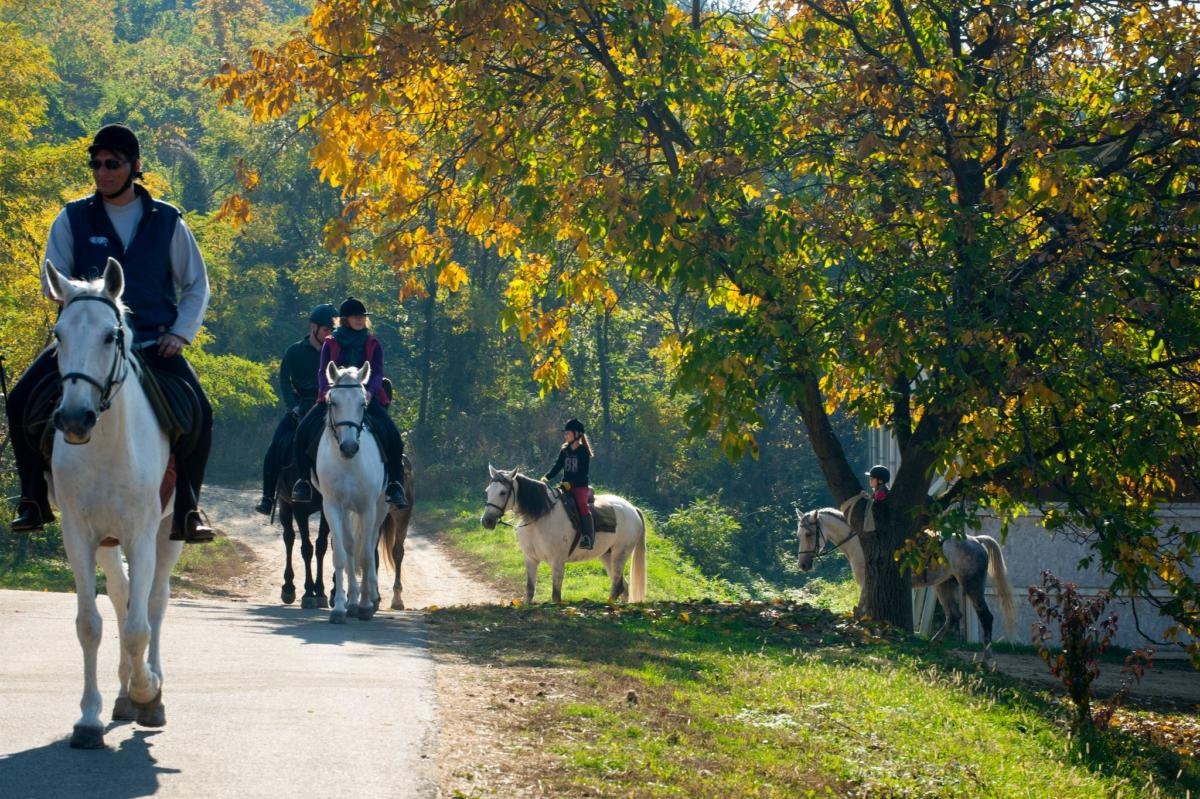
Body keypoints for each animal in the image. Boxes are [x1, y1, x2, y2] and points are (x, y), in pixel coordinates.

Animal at [42, 256, 180, 748]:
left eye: (109, 336)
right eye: (58, 335)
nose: (73, 418)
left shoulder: (142, 533)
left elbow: (140, 627)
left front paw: (148, 691)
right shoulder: (79, 535)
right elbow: (90, 624)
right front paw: (88, 718)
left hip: (169, 532)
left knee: (154, 601)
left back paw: (150, 694)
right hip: (106, 541)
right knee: (122, 597)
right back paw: (122, 696)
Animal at [312, 359, 386, 623]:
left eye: (363, 403)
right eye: (333, 401)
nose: (349, 447)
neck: (349, 463)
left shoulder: (368, 507)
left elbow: (365, 555)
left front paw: (365, 606)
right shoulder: (333, 507)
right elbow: (342, 555)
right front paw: (340, 608)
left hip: (381, 508)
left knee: (369, 544)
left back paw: (370, 598)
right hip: (346, 511)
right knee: (351, 545)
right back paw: (353, 601)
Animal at [477, 463, 648, 599]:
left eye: (502, 492)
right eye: (487, 491)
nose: (486, 521)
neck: (540, 517)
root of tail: (633, 509)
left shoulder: (557, 562)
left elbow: (556, 595)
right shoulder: (531, 559)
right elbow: (530, 591)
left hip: (620, 554)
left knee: (616, 587)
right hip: (607, 555)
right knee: (624, 587)